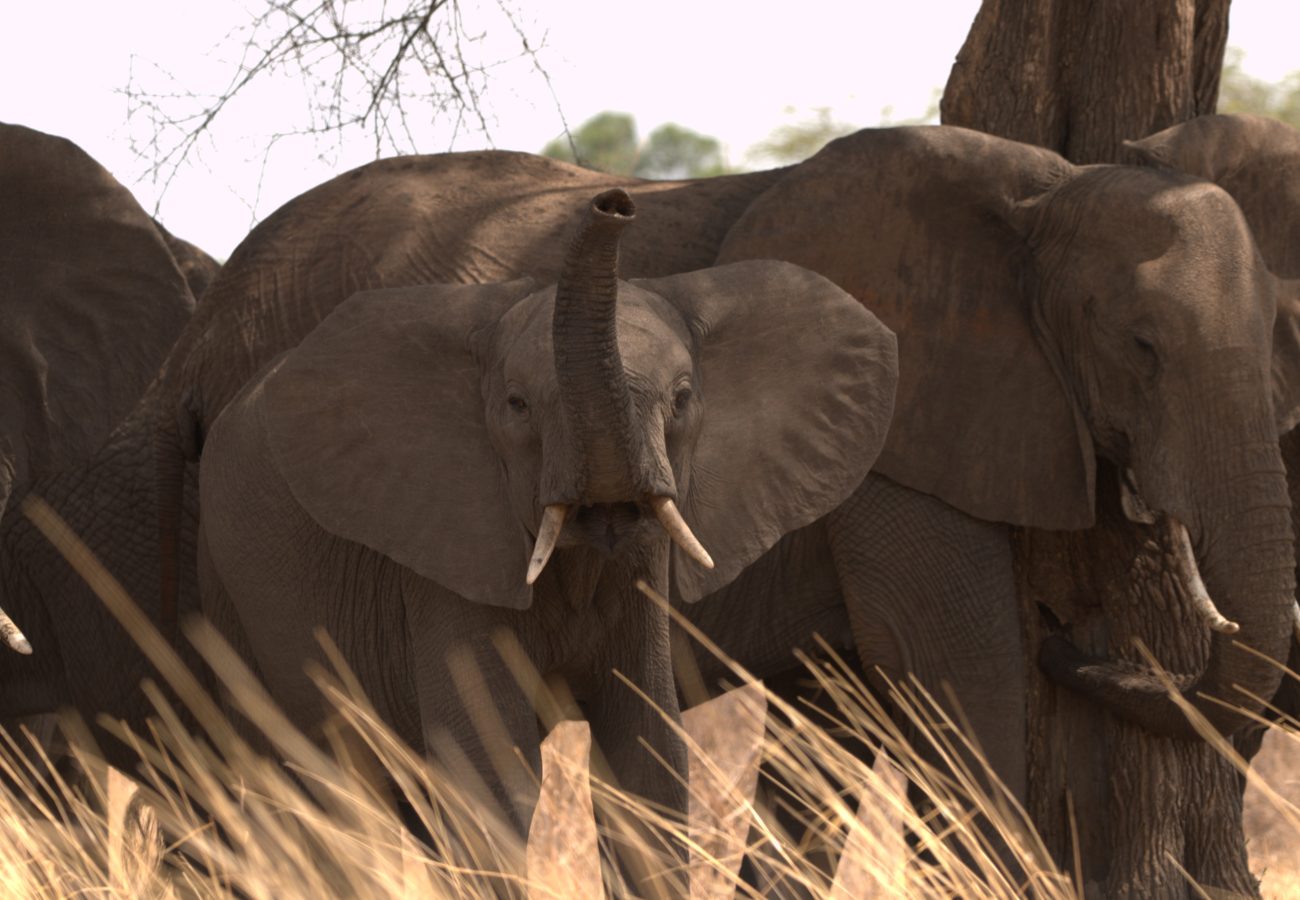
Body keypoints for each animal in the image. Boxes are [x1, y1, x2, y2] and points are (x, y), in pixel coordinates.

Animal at [193, 189, 899, 835]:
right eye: (516, 406)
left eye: (682, 398)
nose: (614, 203)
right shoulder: (446, 548)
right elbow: (490, 779)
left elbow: (649, 765)